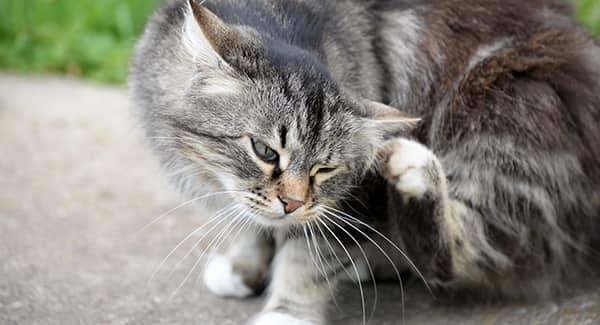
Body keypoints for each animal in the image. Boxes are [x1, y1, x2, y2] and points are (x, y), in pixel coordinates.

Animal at [130, 0, 600, 322]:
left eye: (324, 169)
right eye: (265, 151)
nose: (294, 204)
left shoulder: (353, 200)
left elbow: (306, 262)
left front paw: (285, 311)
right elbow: (251, 225)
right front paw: (243, 268)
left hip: (504, 116)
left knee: (473, 254)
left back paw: (414, 174)